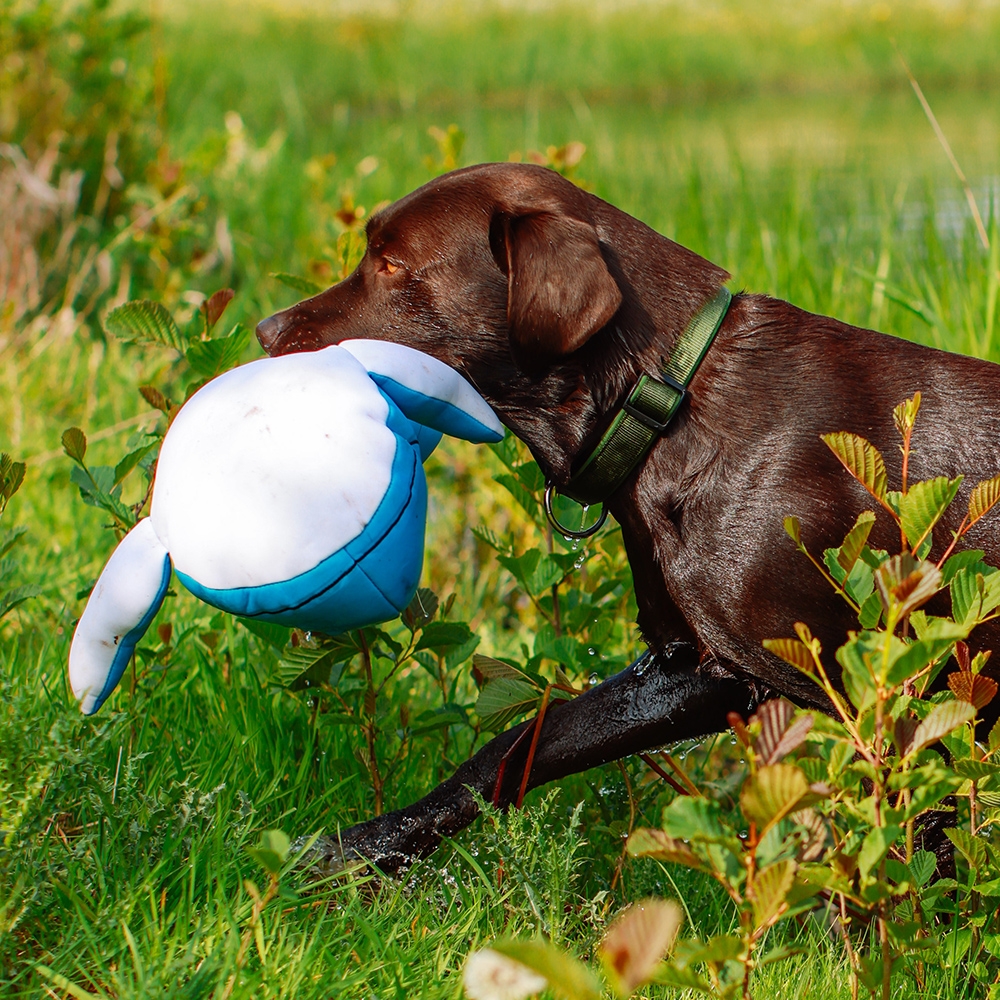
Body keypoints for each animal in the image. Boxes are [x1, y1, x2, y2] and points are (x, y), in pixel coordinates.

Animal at [254, 160, 1000, 872]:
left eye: (390, 263)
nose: (264, 330)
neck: (668, 406)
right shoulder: (691, 672)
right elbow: (512, 748)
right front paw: (361, 849)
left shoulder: (890, 688)